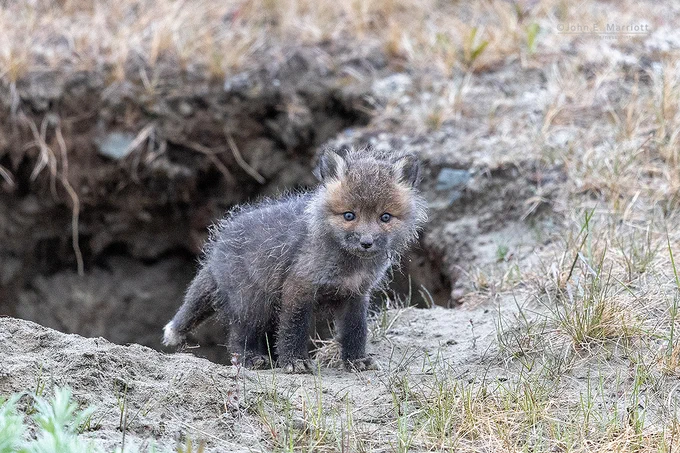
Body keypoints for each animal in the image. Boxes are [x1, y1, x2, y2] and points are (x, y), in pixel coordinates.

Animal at [162, 147, 427, 373]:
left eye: (385, 217)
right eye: (349, 215)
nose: (366, 242)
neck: (347, 266)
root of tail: (216, 249)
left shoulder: (356, 294)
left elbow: (355, 330)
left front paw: (356, 360)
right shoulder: (299, 286)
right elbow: (293, 328)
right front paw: (294, 361)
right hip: (252, 304)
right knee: (239, 337)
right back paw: (251, 359)